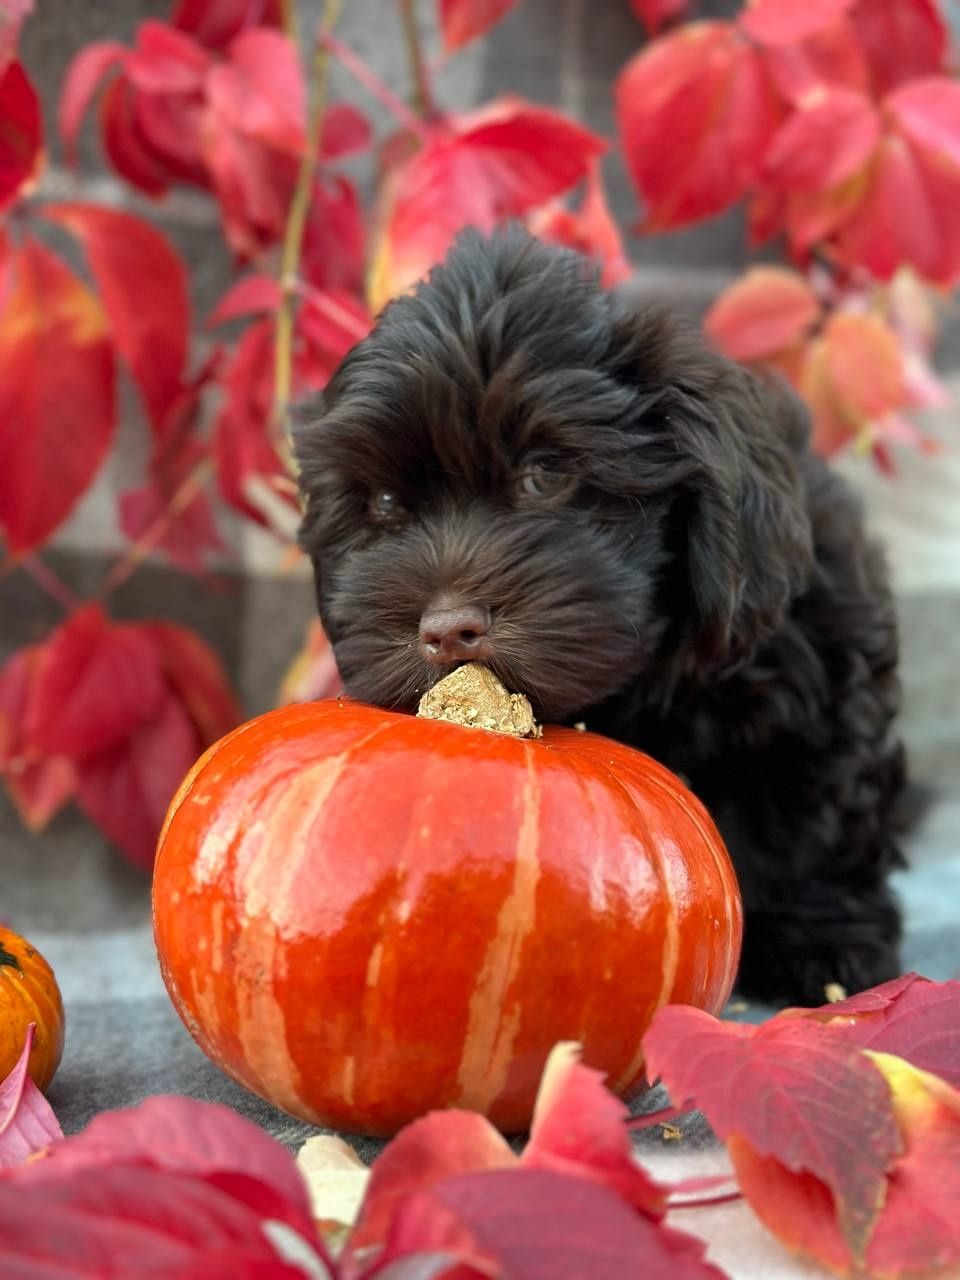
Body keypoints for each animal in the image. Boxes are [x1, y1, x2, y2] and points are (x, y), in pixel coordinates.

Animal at [295, 230, 911, 1008]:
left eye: (546, 476)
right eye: (380, 503)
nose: (447, 629)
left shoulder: (820, 659)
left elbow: (809, 808)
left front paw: (826, 946)